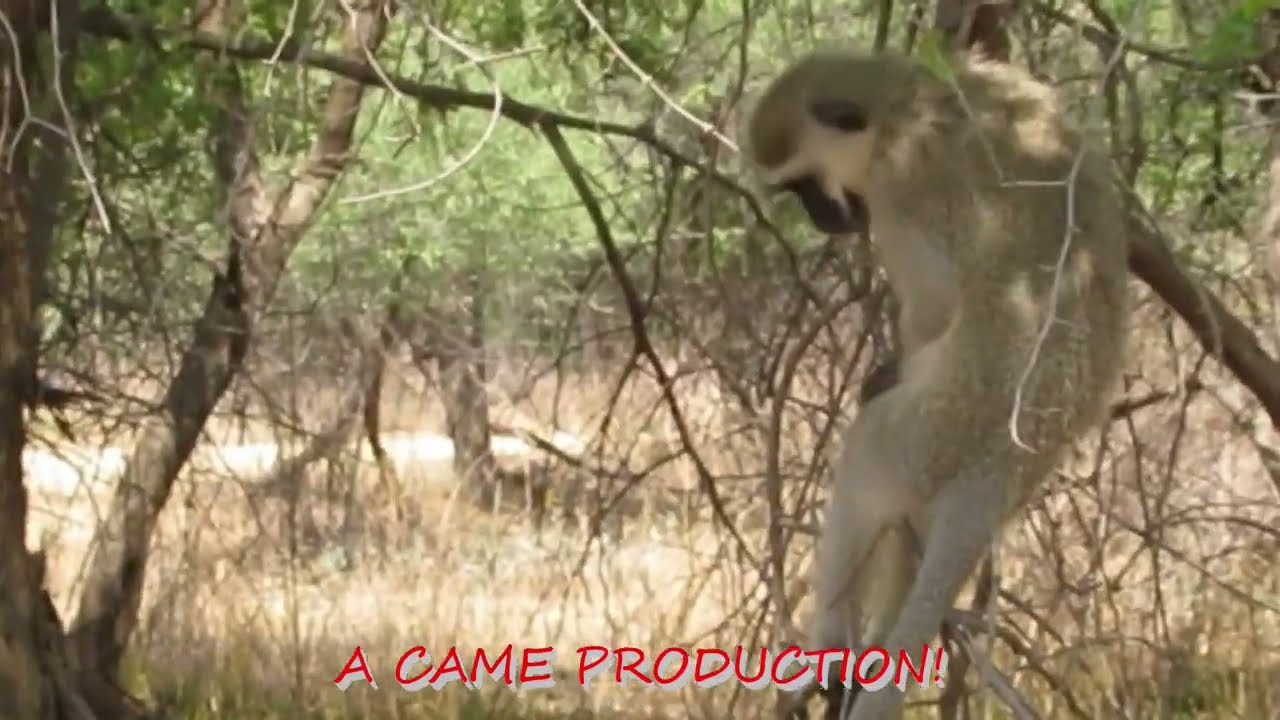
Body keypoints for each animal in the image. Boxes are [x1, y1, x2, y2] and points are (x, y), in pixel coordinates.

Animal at [744, 47, 1130, 720]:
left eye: (807, 184)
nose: (823, 219)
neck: (905, 101)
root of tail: (1008, 462)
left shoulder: (903, 195)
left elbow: (937, 301)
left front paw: (887, 367)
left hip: (933, 430)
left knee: (866, 455)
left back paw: (833, 648)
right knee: (911, 520)